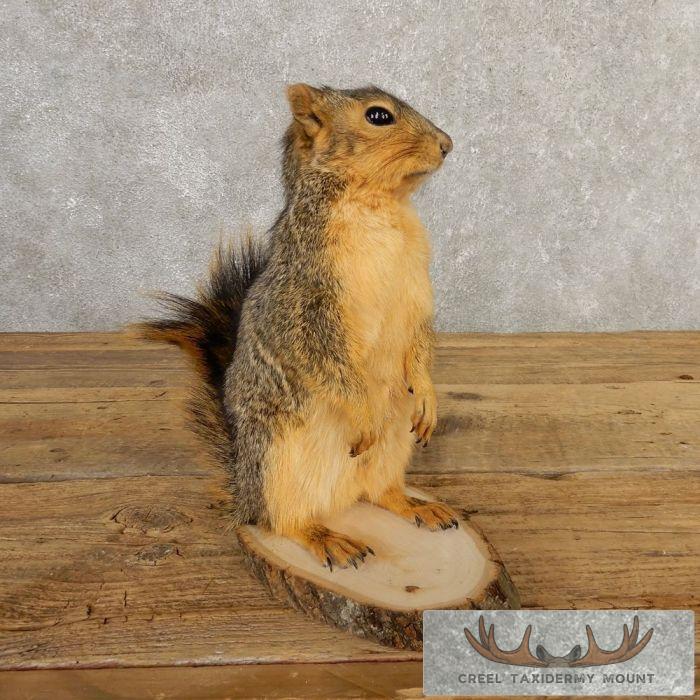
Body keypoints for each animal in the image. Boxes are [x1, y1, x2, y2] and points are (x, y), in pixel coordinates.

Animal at [137, 84, 457, 570]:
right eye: (378, 116)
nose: (447, 144)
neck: (378, 206)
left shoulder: (417, 291)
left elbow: (420, 342)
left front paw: (426, 394)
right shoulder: (305, 305)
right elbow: (326, 359)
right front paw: (363, 410)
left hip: (390, 451)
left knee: (381, 492)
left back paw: (416, 505)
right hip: (278, 463)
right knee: (282, 521)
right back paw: (327, 538)